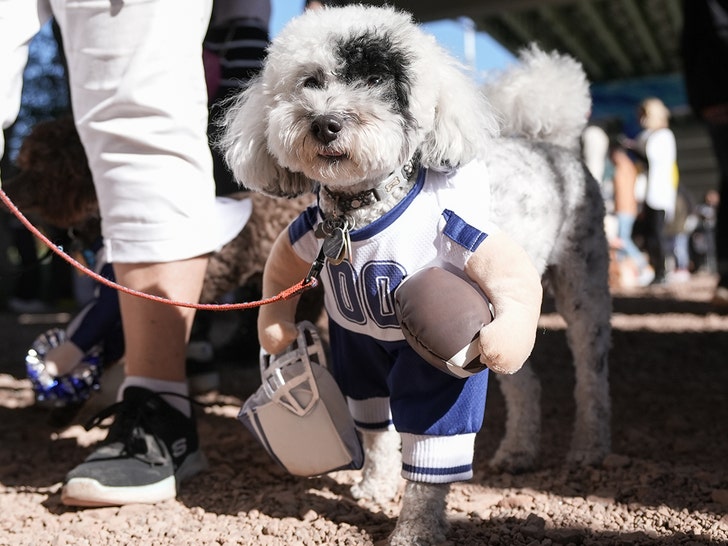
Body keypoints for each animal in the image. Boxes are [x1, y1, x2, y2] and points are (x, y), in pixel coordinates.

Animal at [219, 5, 612, 544]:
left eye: (378, 81)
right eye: (311, 80)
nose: (325, 123)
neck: (363, 213)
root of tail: (547, 141)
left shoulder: (433, 358)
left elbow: (430, 451)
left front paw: (414, 529)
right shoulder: (358, 345)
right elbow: (374, 426)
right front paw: (374, 486)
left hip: (582, 290)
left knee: (592, 375)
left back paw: (590, 448)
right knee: (524, 382)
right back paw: (518, 452)